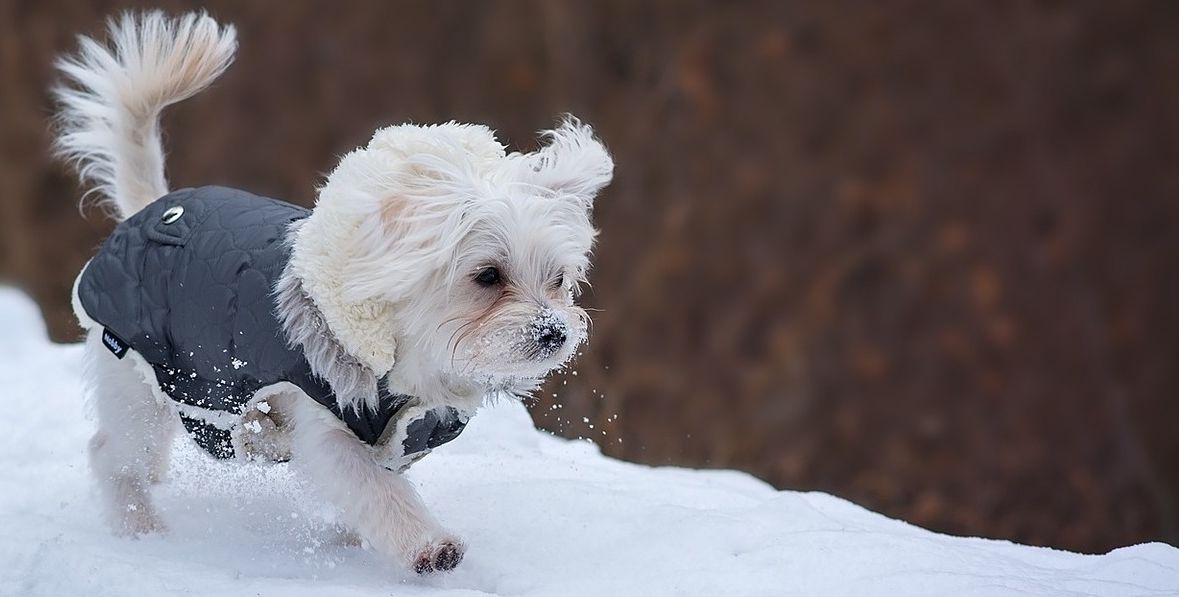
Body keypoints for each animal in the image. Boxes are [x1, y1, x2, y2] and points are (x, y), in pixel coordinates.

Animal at [50, 11, 613, 575]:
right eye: (488, 276)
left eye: (558, 280)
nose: (554, 332)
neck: (408, 362)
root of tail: (149, 210)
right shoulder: (326, 425)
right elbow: (374, 489)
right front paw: (428, 545)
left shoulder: (400, 435)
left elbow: (372, 493)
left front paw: (355, 540)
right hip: (136, 379)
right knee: (112, 454)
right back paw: (139, 527)